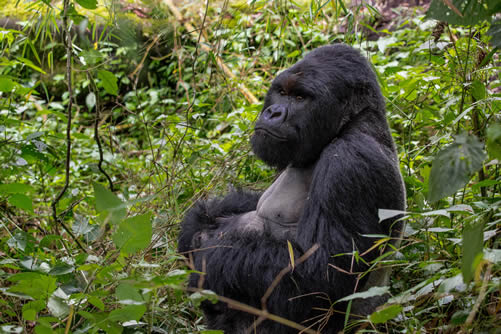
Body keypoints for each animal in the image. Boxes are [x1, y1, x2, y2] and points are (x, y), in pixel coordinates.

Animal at [178, 43, 404, 332]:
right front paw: (198, 222)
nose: (273, 112)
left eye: (300, 98)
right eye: (282, 93)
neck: (351, 123)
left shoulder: (352, 162)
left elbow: (321, 277)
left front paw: (207, 254)